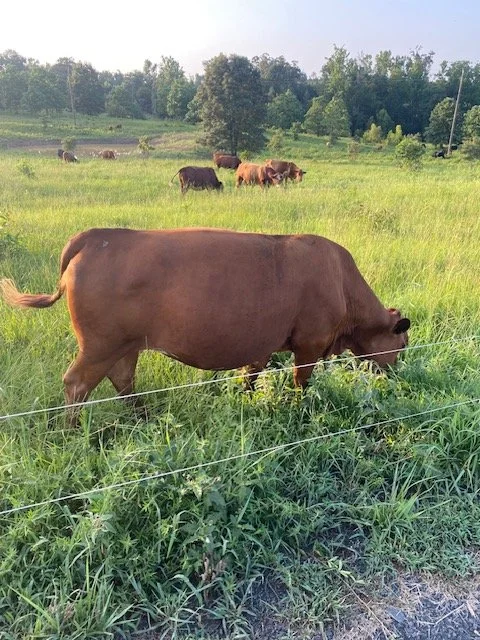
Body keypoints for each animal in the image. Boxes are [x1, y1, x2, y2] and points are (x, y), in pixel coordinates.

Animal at [0, 228, 411, 425]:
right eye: (403, 344)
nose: (399, 374)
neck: (341, 282)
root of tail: (98, 235)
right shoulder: (309, 344)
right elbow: (301, 383)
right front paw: (298, 410)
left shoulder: (262, 344)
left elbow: (250, 376)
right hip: (99, 345)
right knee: (77, 384)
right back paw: (69, 431)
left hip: (125, 345)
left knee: (123, 380)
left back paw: (144, 419)